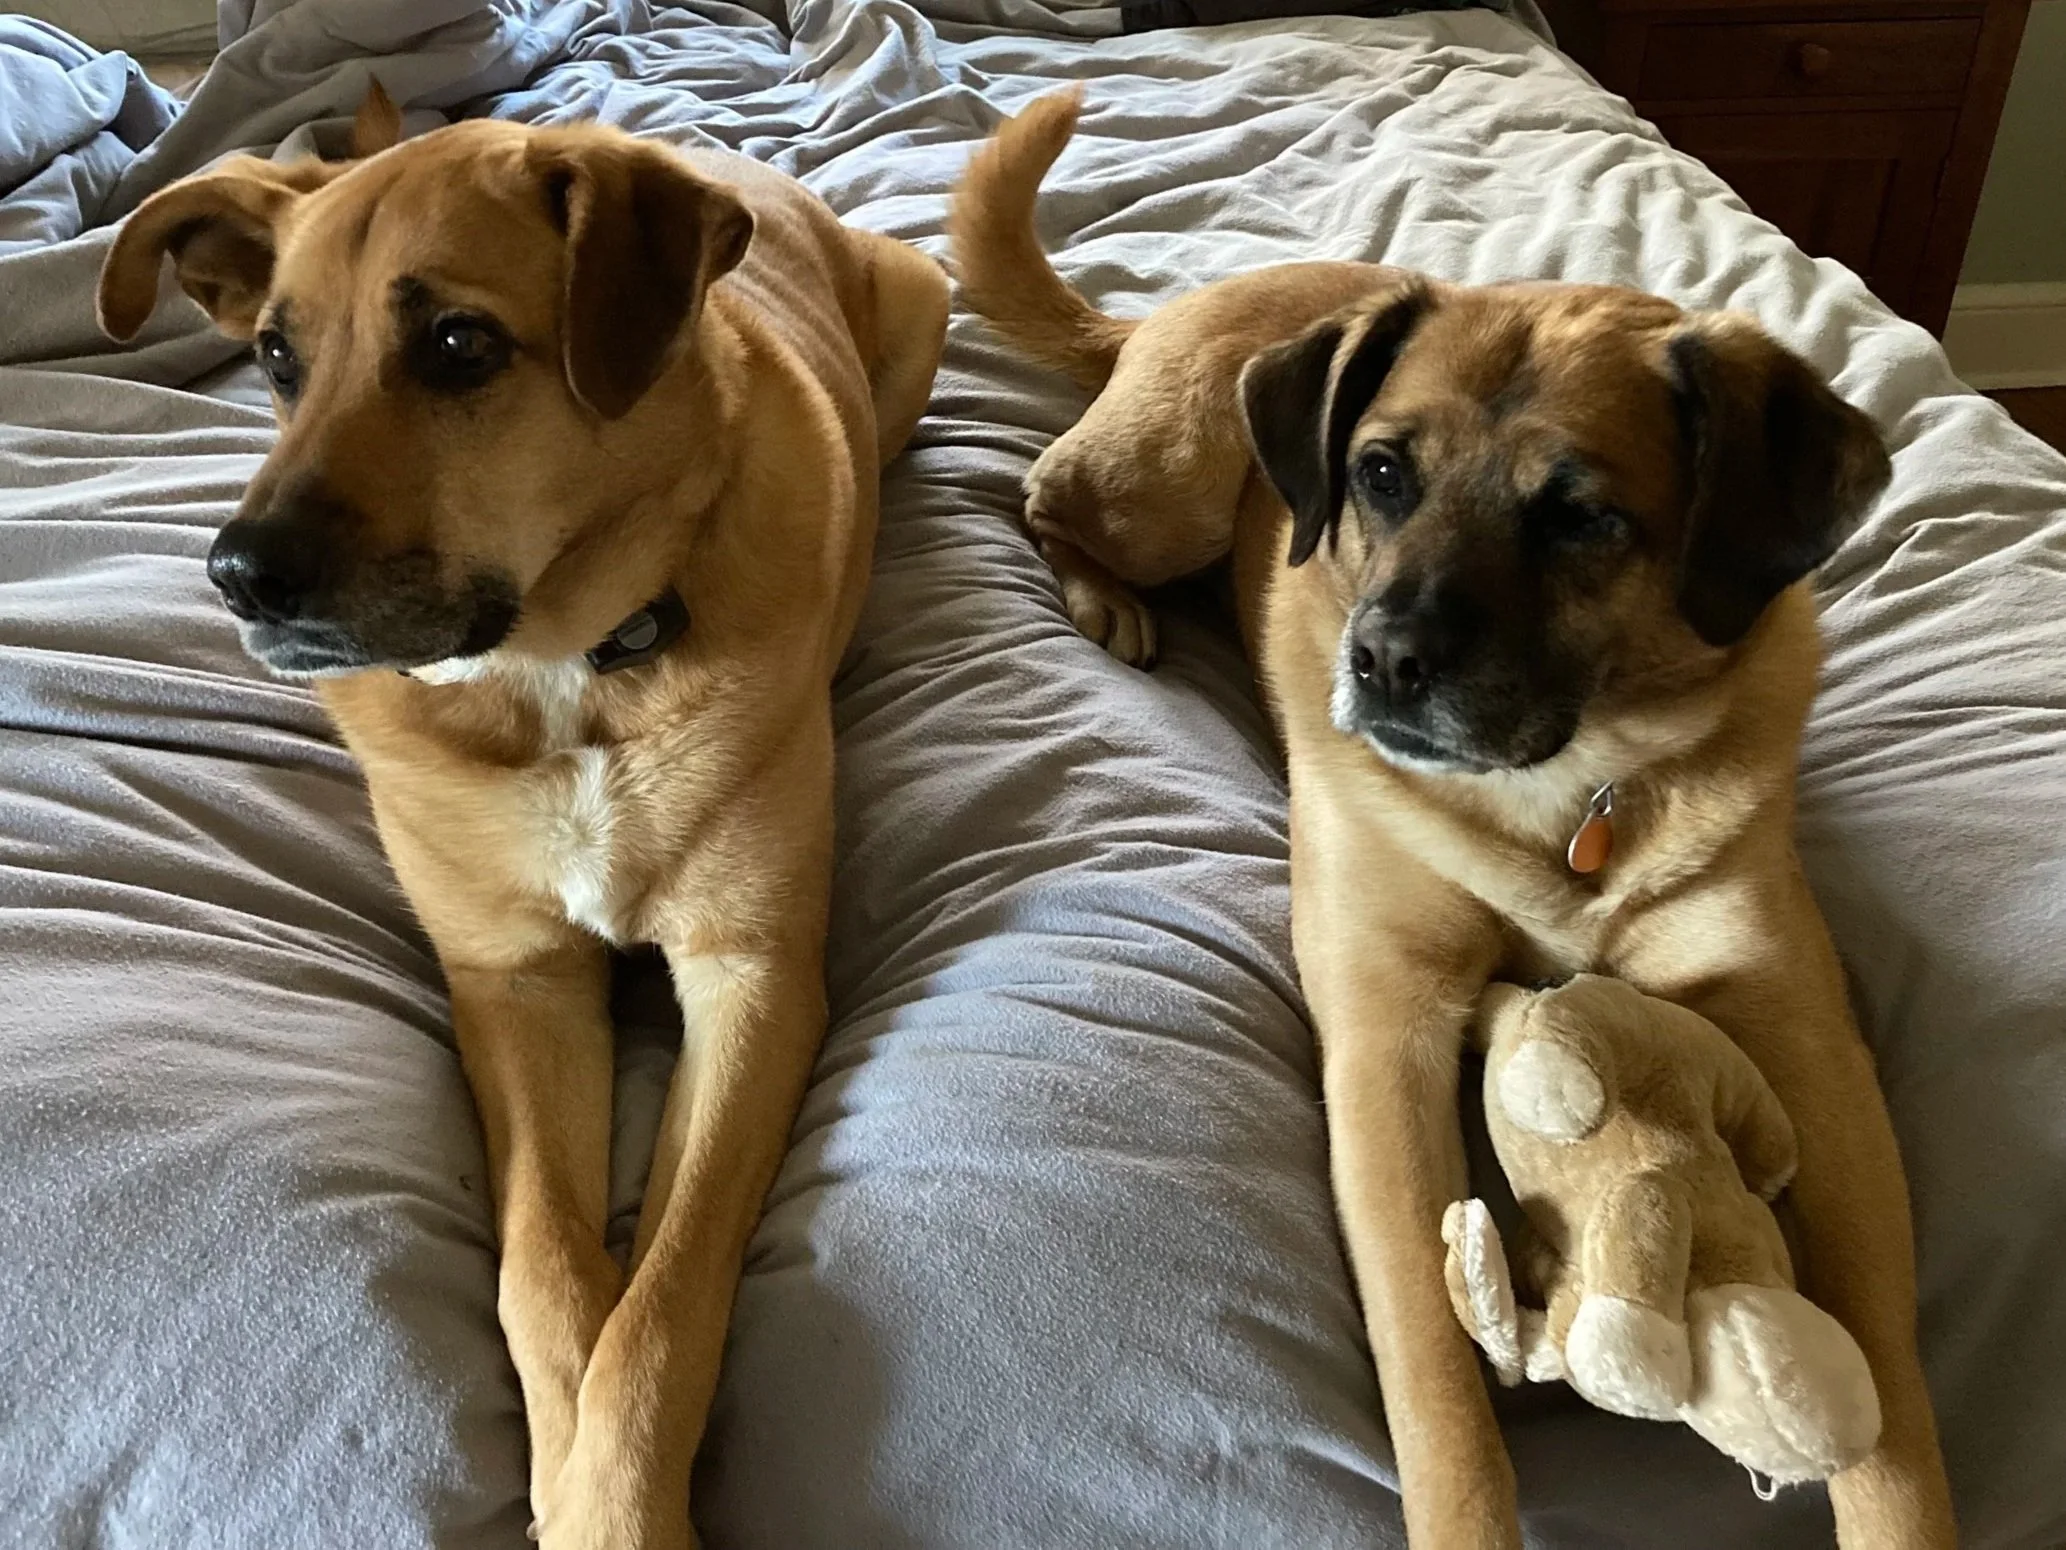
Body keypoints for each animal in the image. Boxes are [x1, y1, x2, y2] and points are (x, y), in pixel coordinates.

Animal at [100, 89, 948, 1549]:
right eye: (275, 357)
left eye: (457, 343)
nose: (239, 576)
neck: (567, 665)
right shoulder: (512, 979)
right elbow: (545, 1269)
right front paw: (564, 1475)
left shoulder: (752, 974)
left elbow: (660, 1301)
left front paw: (618, 1502)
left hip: (922, 306)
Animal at [951, 90, 1953, 1549]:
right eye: (1378, 475)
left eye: (1582, 516)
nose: (1380, 661)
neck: (1567, 792)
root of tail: (1175, 307)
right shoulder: (1388, 1036)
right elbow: (1433, 1372)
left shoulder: (1808, 1046)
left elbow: (1884, 1388)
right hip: (1166, 479)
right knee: (1036, 492)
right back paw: (1107, 599)